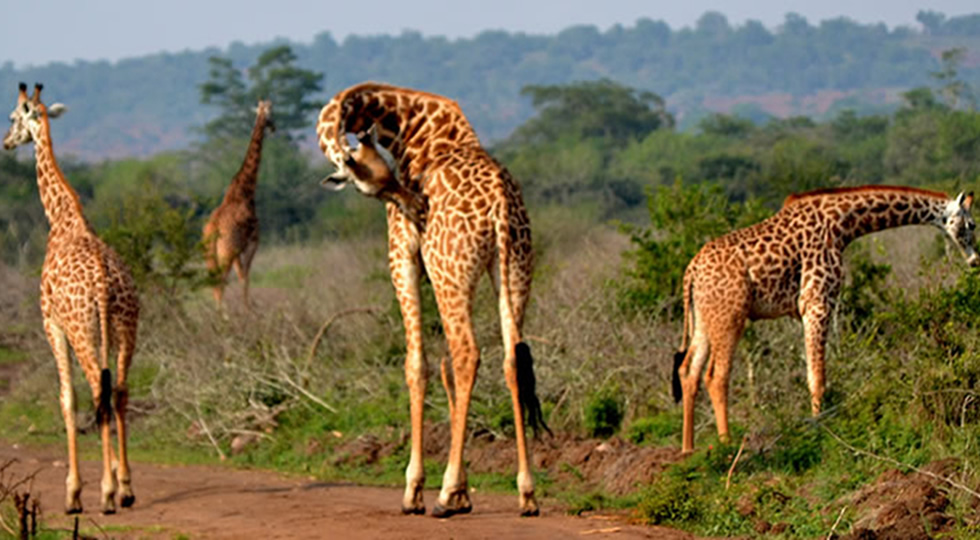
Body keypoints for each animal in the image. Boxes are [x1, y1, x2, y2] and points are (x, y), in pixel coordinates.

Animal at [2, 82, 142, 512]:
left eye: (13, 117)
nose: (6, 142)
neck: (63, 218)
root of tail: (104, 285)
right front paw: (112, 480)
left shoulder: (52, 323)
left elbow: (67, 399)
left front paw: (74, 492)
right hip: (125, 329)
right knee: (119, 391)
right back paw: (126, 487)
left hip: (83, 332)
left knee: (98, 390)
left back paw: (107, 493)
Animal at [201, 98, 274, 306]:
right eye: (271, 114)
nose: (273, 127)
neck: (244, 190)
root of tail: (213, 230)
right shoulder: (252, 242)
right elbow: (245, 276)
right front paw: (247, 308)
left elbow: (243, 276)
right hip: (227, 252)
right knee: (221, 282)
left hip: (211, 255)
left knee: (215, 283)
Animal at [318, 82, 548, 516]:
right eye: (367, 181)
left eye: (384, 174)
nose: (416, 207)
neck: (415, 130)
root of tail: (499, 208)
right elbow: (443, 366)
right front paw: (464, 494)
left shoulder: (402, 257)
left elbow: (417, 365)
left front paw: (418, 491)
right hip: (513, 269)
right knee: (511, 358)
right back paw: (526, 493)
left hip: (451, 273)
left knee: (467, 353)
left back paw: (443, 494)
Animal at [672, 184, 980, 454]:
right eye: (971, 224)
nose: (975, 260)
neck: (843, 225)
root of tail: (691, 271)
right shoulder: (817, 302)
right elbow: (817, 376)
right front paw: (819, 429)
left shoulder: (809, 307)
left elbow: (813, 371)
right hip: (731, 316)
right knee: (716, 376)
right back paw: (727, 443)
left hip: (704, 319)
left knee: (688, 370)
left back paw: (688, 448)